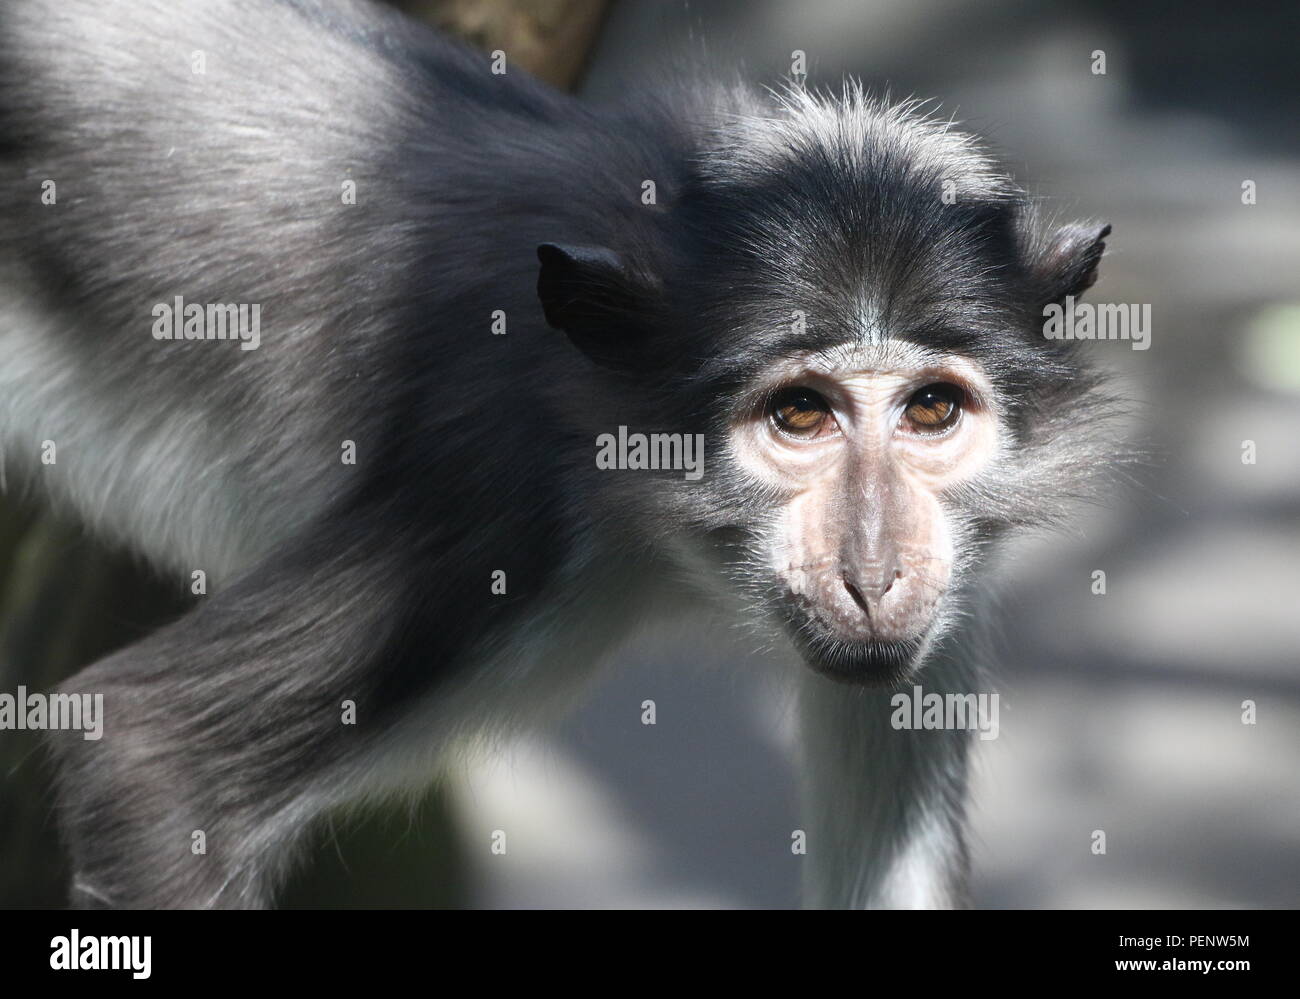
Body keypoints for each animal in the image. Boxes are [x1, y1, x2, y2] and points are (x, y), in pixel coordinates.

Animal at [0, 0, 1112, 910]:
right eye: (799, 414)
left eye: (932, 410)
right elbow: (146, 753)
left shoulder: (947, 596)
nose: (874, 574)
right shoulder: (504, 493)